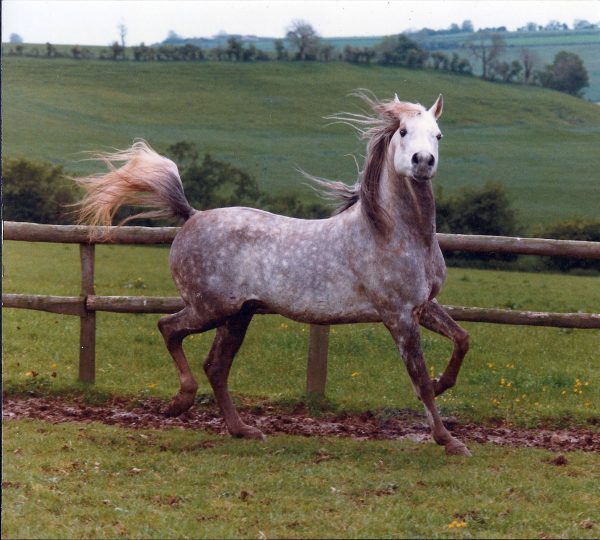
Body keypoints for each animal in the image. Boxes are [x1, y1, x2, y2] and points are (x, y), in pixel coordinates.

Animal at [74, 93, 474, 456]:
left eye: (438, 135)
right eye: (404, 131)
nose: (424, 162)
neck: (393, 233)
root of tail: (192, 215)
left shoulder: (423, 306)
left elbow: (462, 339)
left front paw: (443, 383)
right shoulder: (398, 315)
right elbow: (419, 380)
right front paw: (449, 441)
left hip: (238, 314)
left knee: (215, 366)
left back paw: (243, 430)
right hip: (211, 309)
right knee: (169, 328)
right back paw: (180, 402)